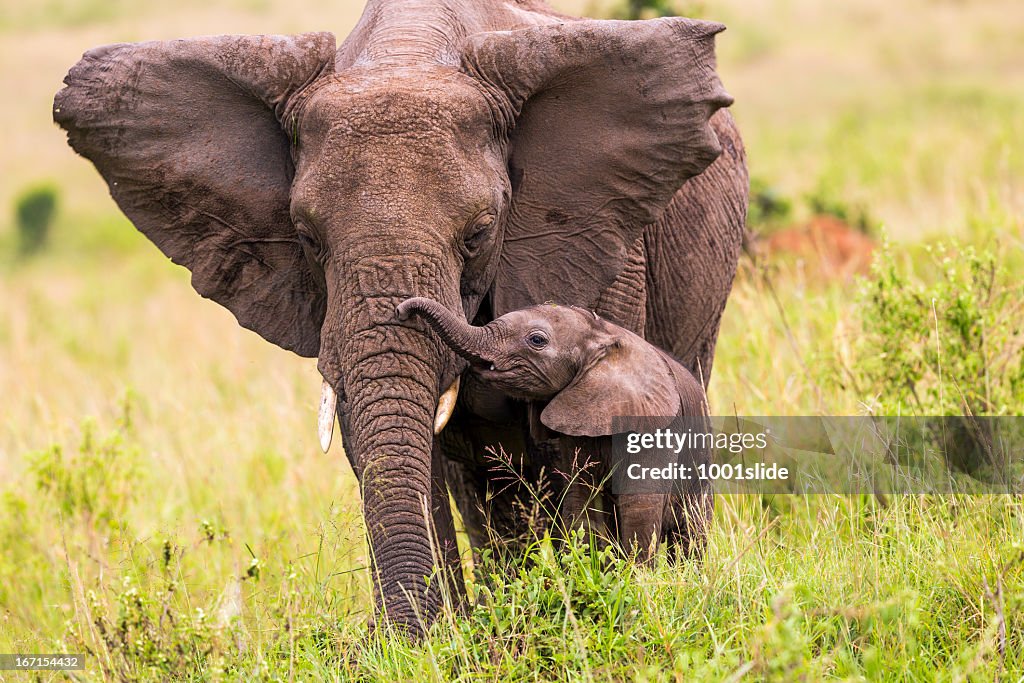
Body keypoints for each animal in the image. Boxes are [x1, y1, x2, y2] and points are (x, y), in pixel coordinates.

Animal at [395, 296, 716, 561]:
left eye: (537, 340)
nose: (400, 311)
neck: (602, 334)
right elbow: (580, 498)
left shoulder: (652, 426)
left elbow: (639, 506)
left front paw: (636, 579)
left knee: (691, 532)